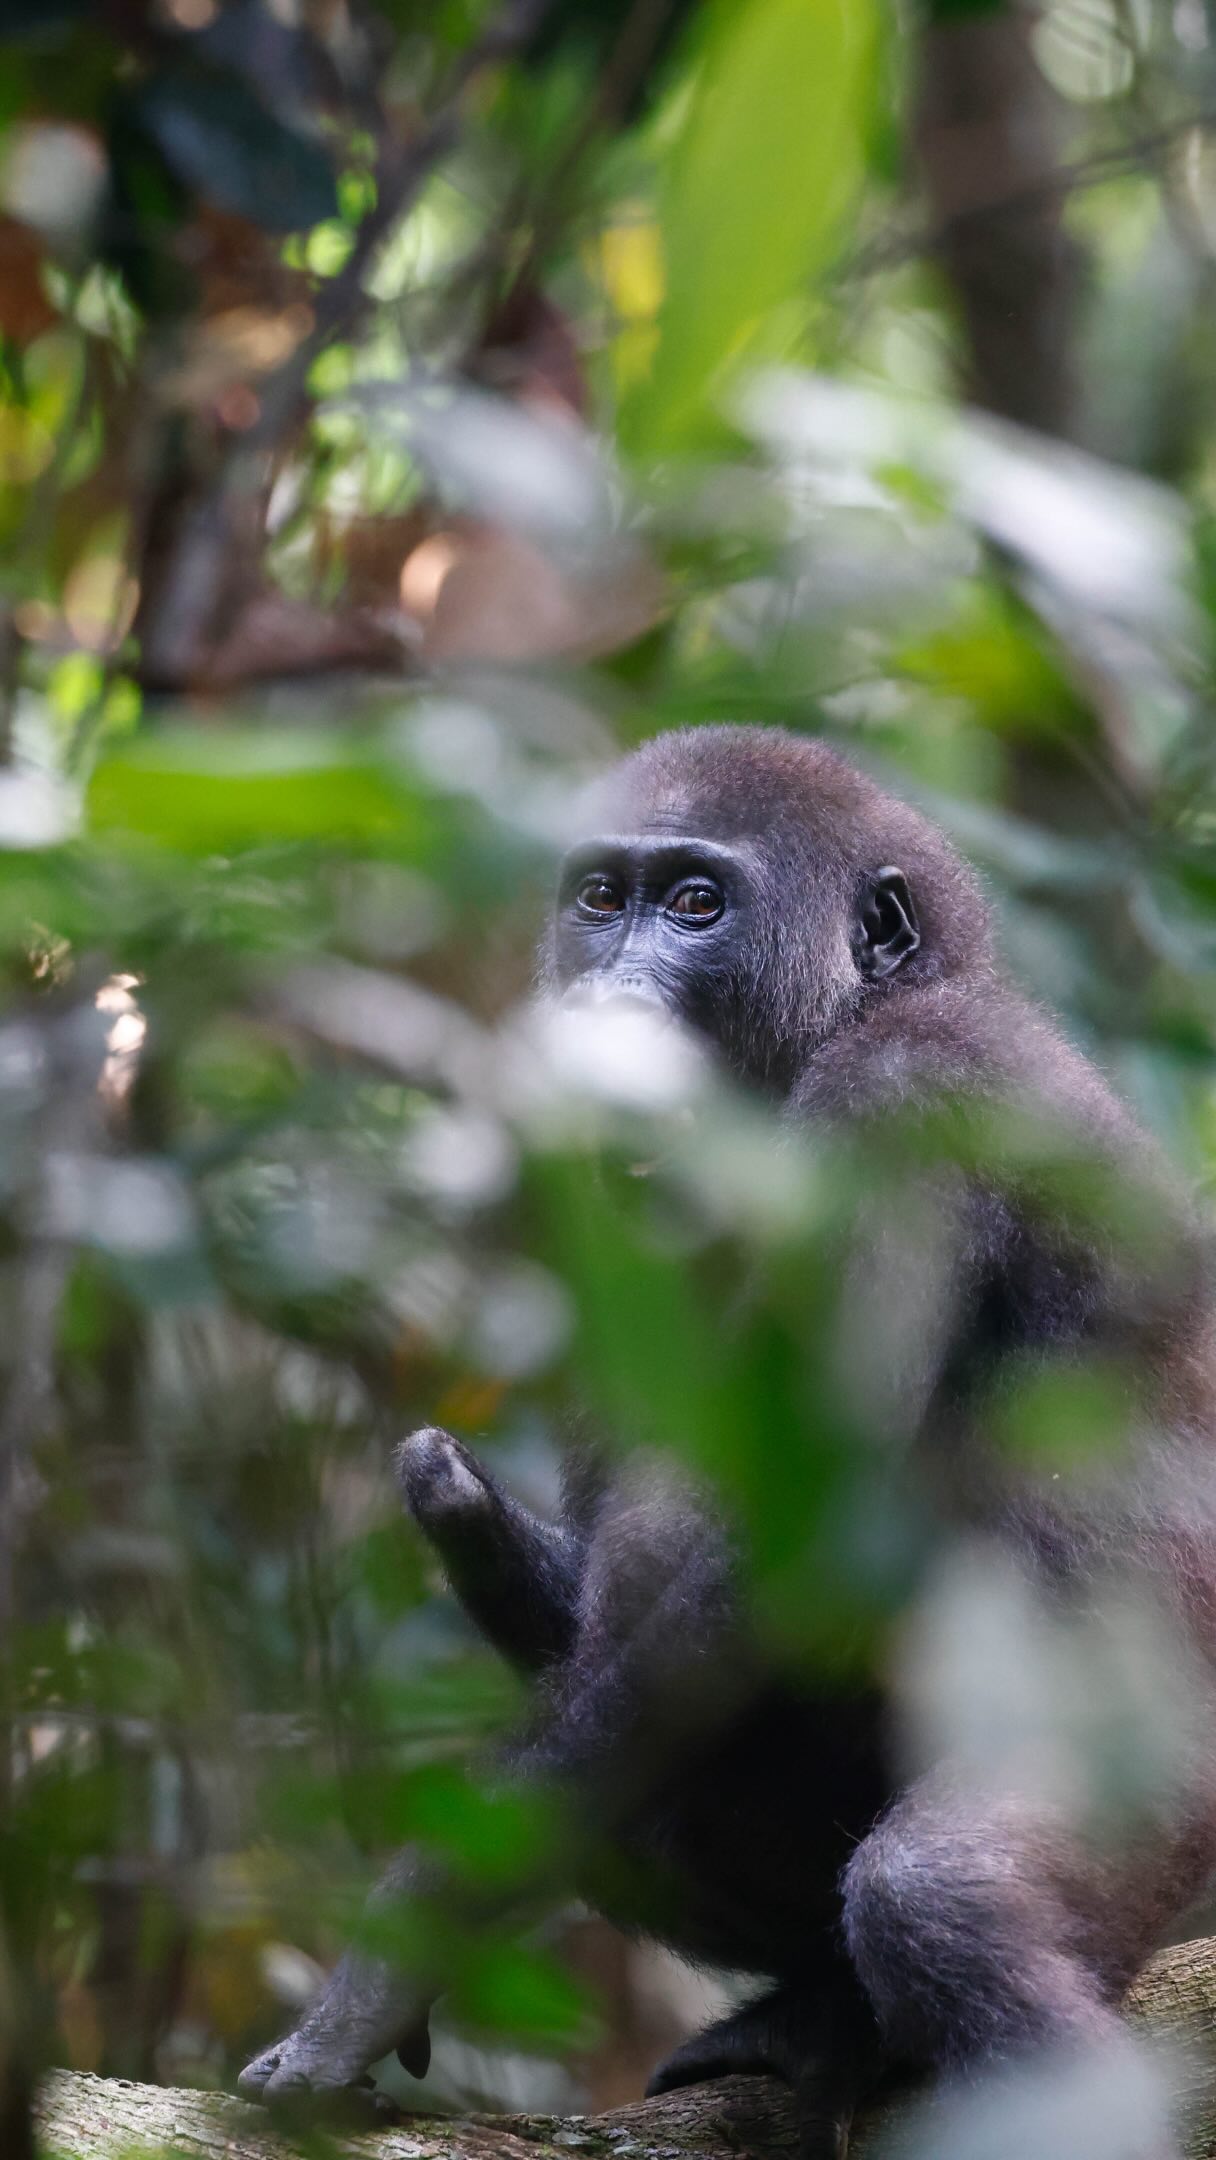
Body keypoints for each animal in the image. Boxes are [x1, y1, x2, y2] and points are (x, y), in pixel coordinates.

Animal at [239, 725, 1216, 2156]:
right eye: (602, 901)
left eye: (697, 905)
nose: (607, 996)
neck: (855, 1013)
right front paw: (475, 1519)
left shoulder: (901, 1103)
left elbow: (773, 1554)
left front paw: (395, 1949)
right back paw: (817, 2013)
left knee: (942, 1904)